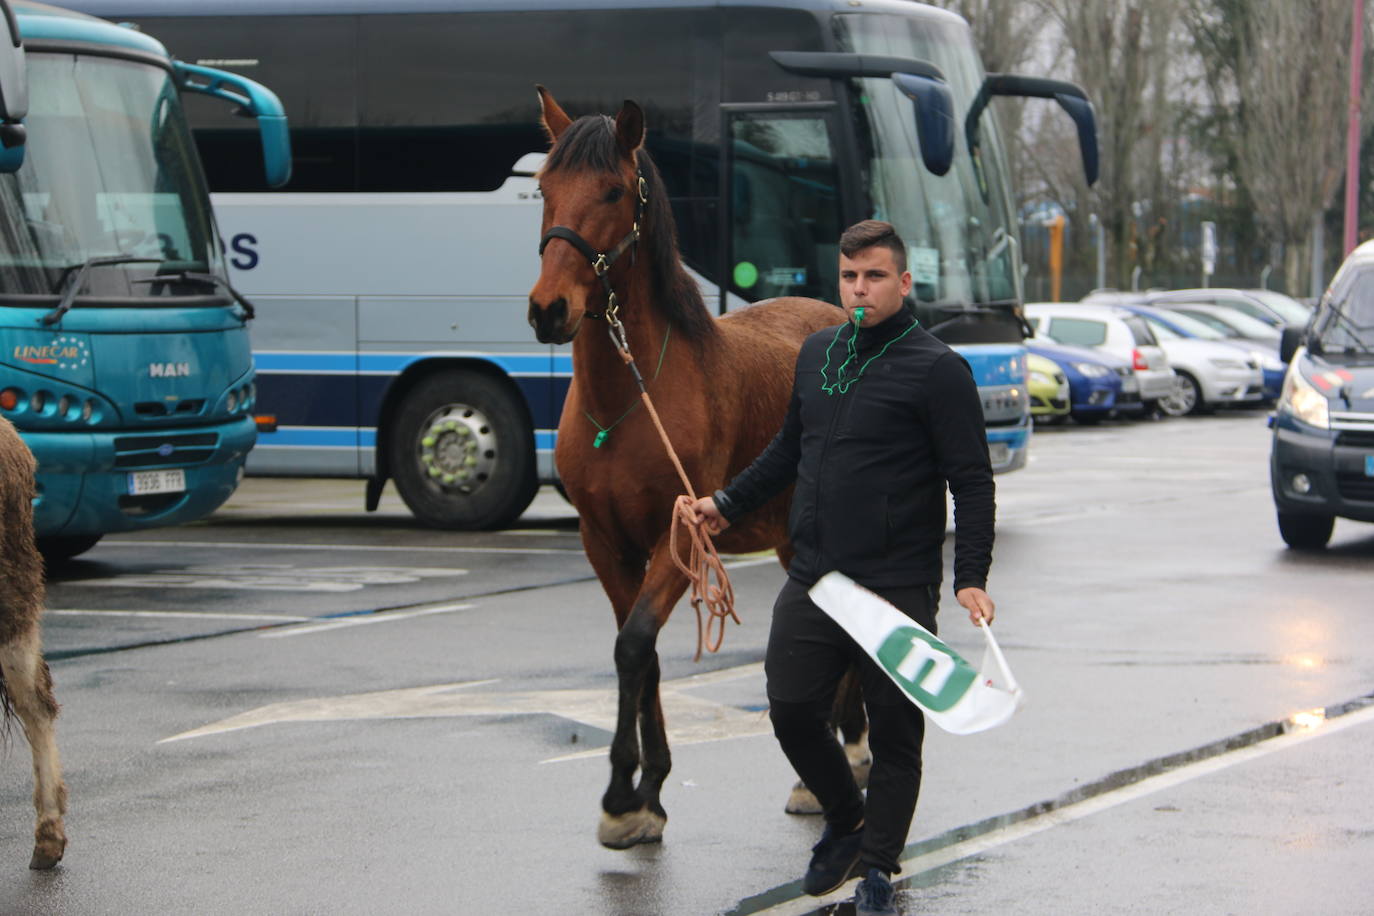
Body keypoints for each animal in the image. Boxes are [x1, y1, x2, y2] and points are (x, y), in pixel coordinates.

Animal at [527, 89, 857, 851]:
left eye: (612, 191)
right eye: (544, 190)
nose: (548, 309)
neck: (629, 399)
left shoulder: (679, 540)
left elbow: (633, 646)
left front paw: (621, 795)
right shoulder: (606, 544)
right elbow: (639, 655)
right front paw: (647, 794)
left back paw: (846, 752)